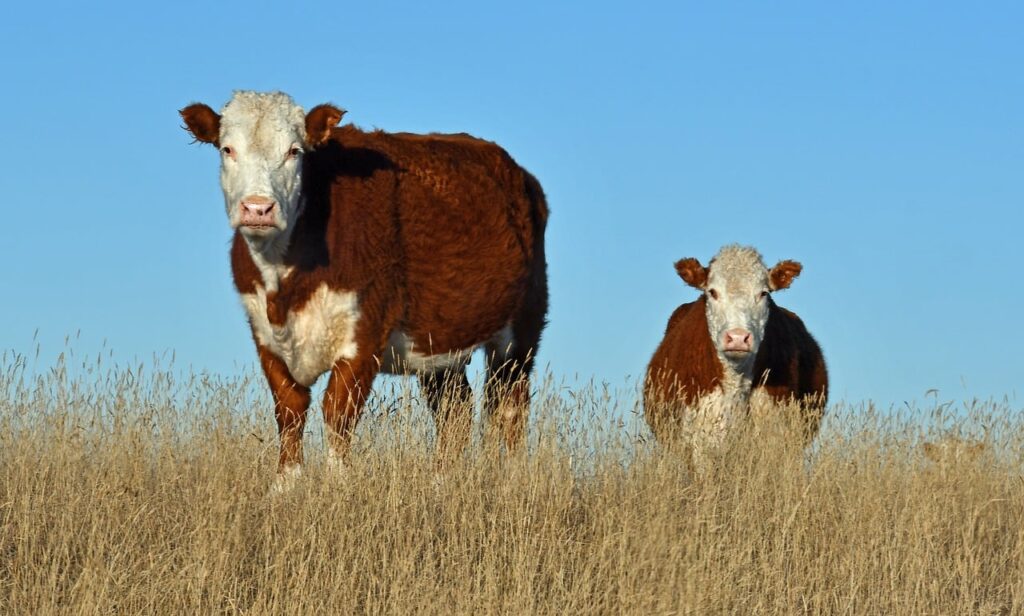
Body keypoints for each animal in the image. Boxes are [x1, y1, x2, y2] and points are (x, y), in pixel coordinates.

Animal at [180, 91, 548, 491]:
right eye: (227, 148)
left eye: (295, 151)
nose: (258, 208)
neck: (286, 283)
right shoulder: (265, 334)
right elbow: (289, 411)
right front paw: (285, 486)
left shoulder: (366, 328)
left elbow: (338, 412)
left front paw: (337, 485)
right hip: (441, 341)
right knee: (455, 411)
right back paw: (440, 483)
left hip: (521, 331)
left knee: (510, 407)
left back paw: (513, 481)